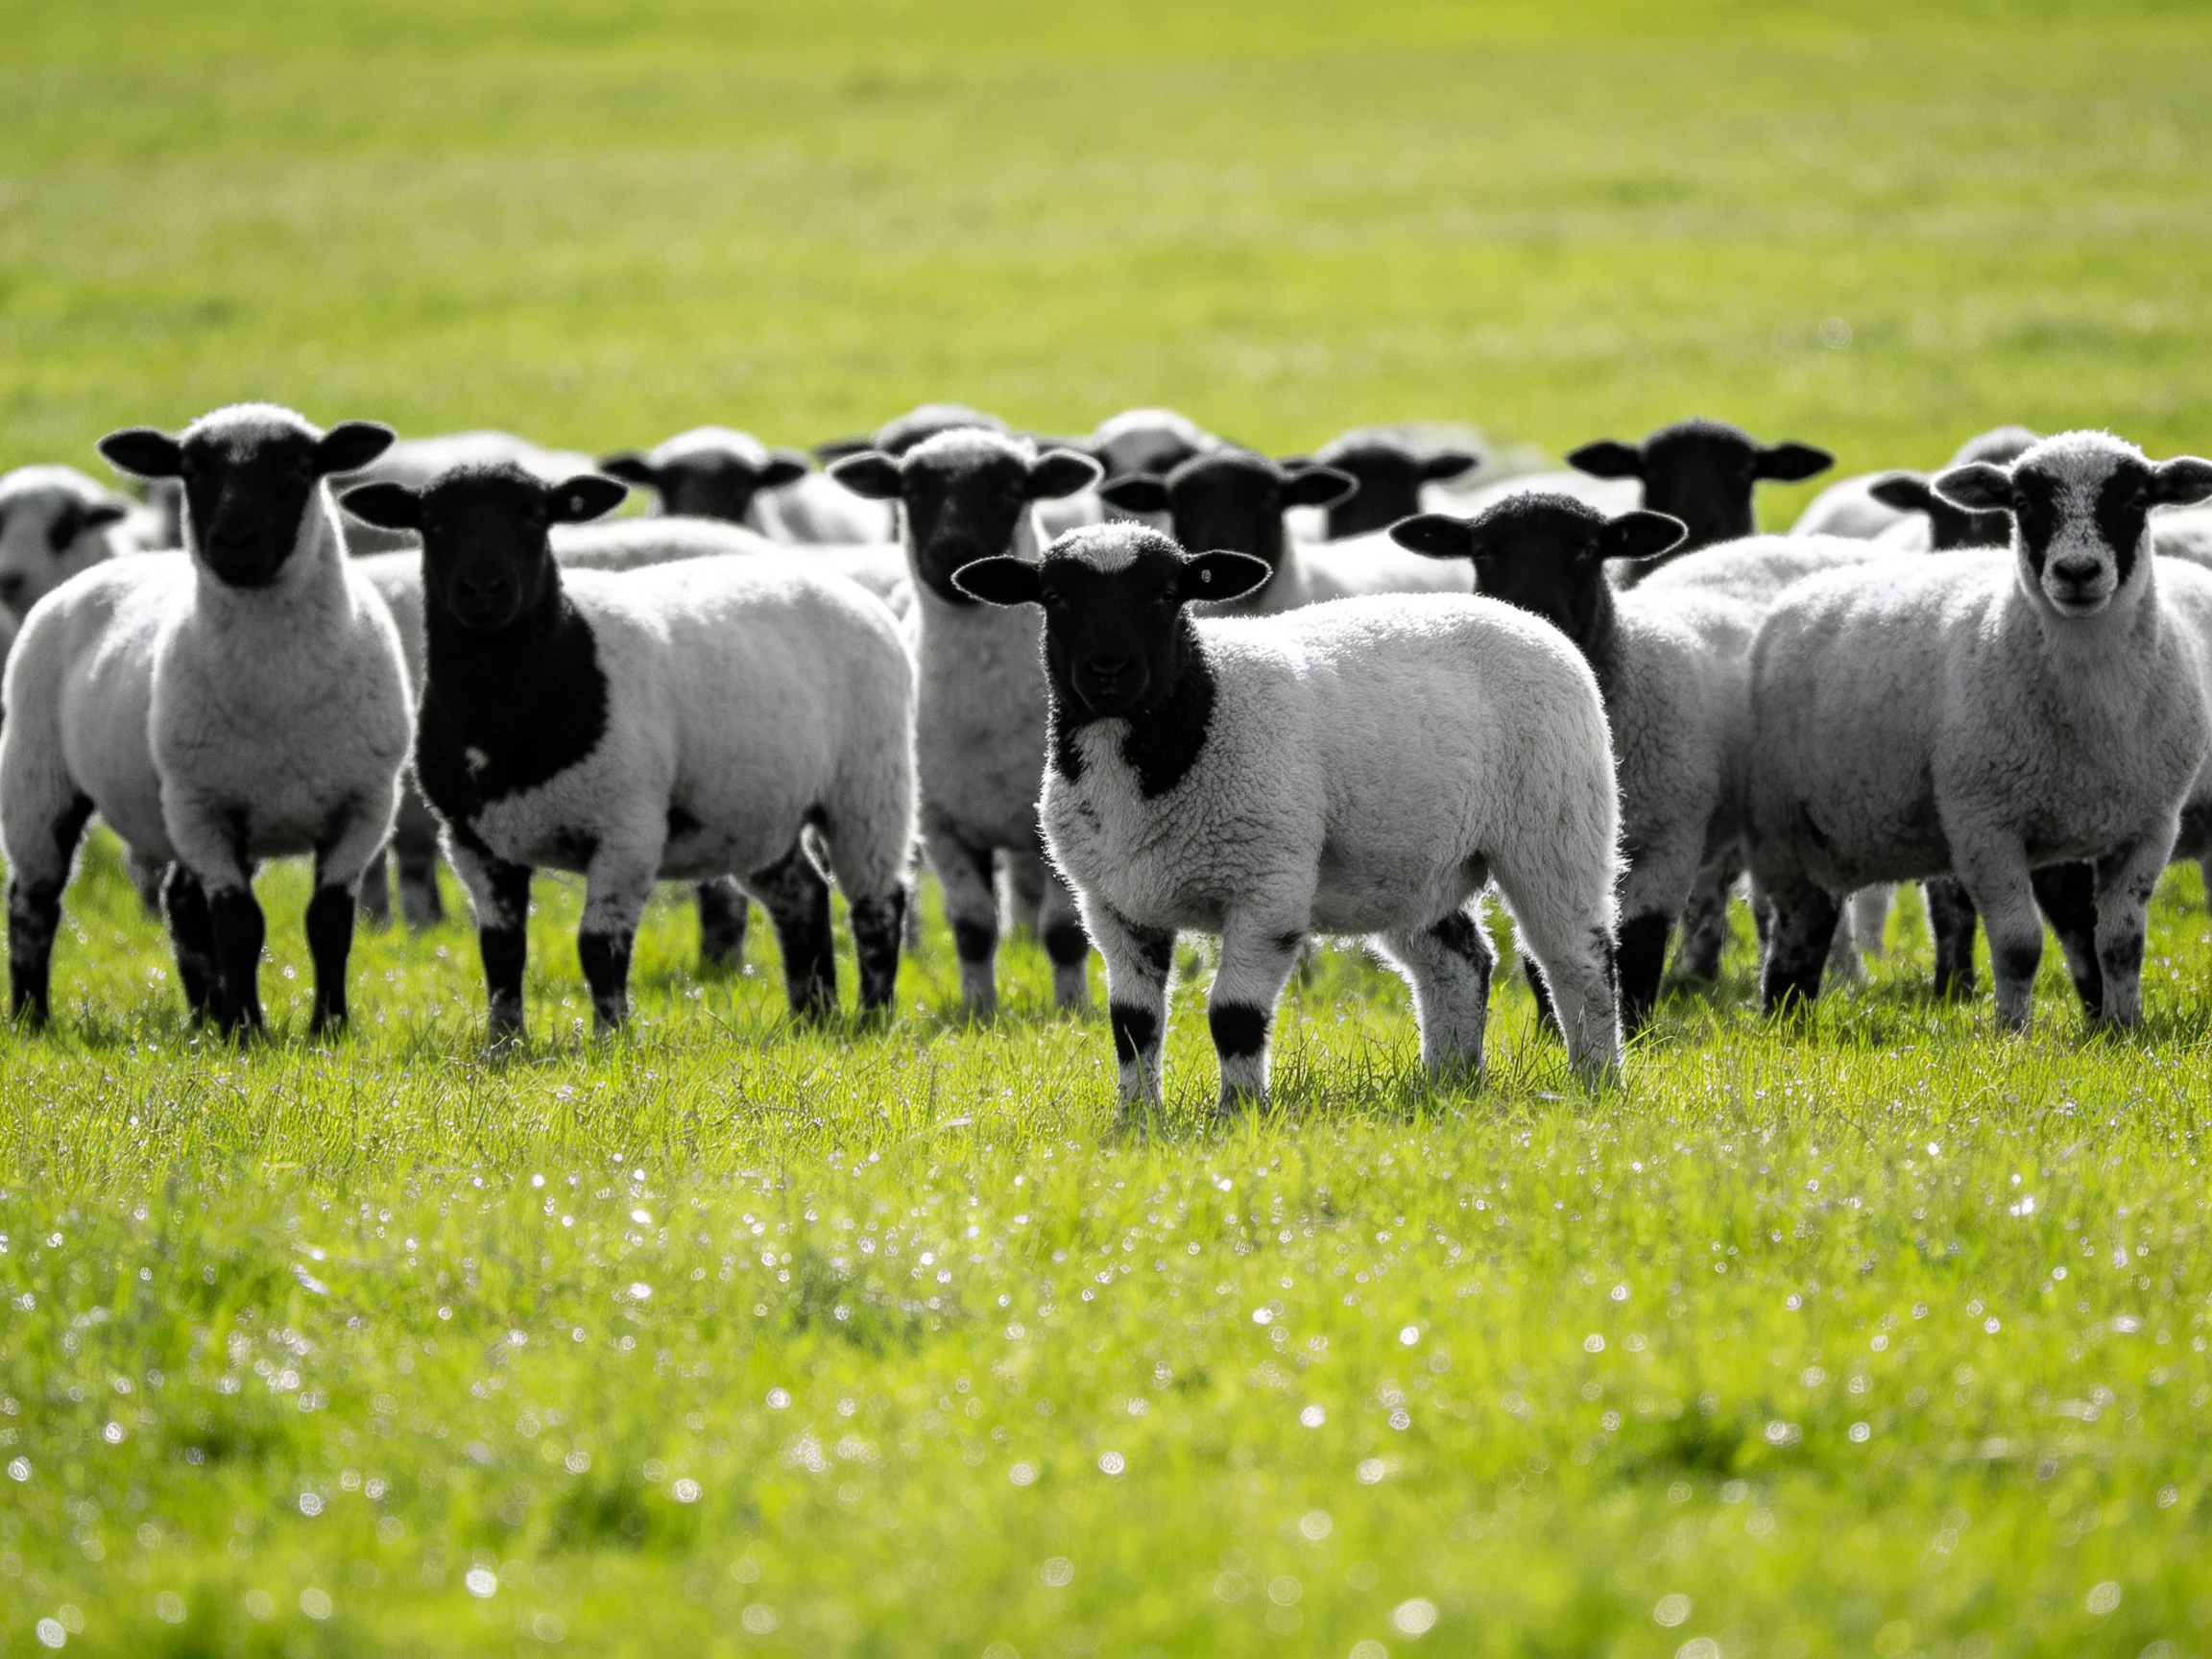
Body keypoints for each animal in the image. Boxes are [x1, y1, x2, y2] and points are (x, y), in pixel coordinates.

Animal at [4, 405, 413, 1034]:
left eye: (298, 469)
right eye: (192, 472)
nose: (233, 541)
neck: (279, 692)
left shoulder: (364, 808)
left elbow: (327, 924)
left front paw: (328, 1027)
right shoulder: (203, 809)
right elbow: (241, 925)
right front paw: (248, 1030)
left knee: (180, 905)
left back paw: (201, 1021)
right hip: (37, 778)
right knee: (34, 903)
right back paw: (33, 1019)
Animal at [340, 464, 916, 1038]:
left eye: (535, 519)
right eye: (433, 523)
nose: (484, 590)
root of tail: (840, 584)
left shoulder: (628, 827)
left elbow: (599, 947)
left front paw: (610, 1039)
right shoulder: (471, 840)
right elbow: (501, 952)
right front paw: (504, 1042)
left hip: (871, 786)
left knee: (878, 905)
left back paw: (872, 1017)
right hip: (756, 811)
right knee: (803, 897)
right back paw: (812, 1017)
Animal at [827, 427, 1103, 1014]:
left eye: (1010, 490)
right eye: (911, 491)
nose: (953, 551)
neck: (985, 710)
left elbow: (1064, 930)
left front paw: (1072, 1009)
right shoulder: (941, 824)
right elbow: (974, 928)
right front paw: (980, 1009)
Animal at [953, 523, 1623, 1117]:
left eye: (1168, 594)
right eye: (1055, 597)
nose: (1109, 671)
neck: (1195, 717)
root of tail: (1524, 618)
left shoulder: (1267, 886)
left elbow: (1234, 1015)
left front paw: (1239, 1115)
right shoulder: (1113, 903)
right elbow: (1132, 1024)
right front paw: (1137, 1118)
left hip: (1557, 822)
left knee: (1580, 960)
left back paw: (1595, 1081)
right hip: (1407, 864)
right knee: (1459, 963)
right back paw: (1450, 1083)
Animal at [1744, 431, 2212, 1030]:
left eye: (2136, 500)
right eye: (2024, 504)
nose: (2077, 572)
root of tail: (1810, 586)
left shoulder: (2150, 826)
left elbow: (2120, 943)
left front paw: (2122, 1028)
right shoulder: (1983, 821)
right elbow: (2019, 944)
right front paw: (2013, 1032)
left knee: (1807, 926)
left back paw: (1792, 1017)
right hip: (1785, 822)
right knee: (1789, 928)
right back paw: (1782, 1021)